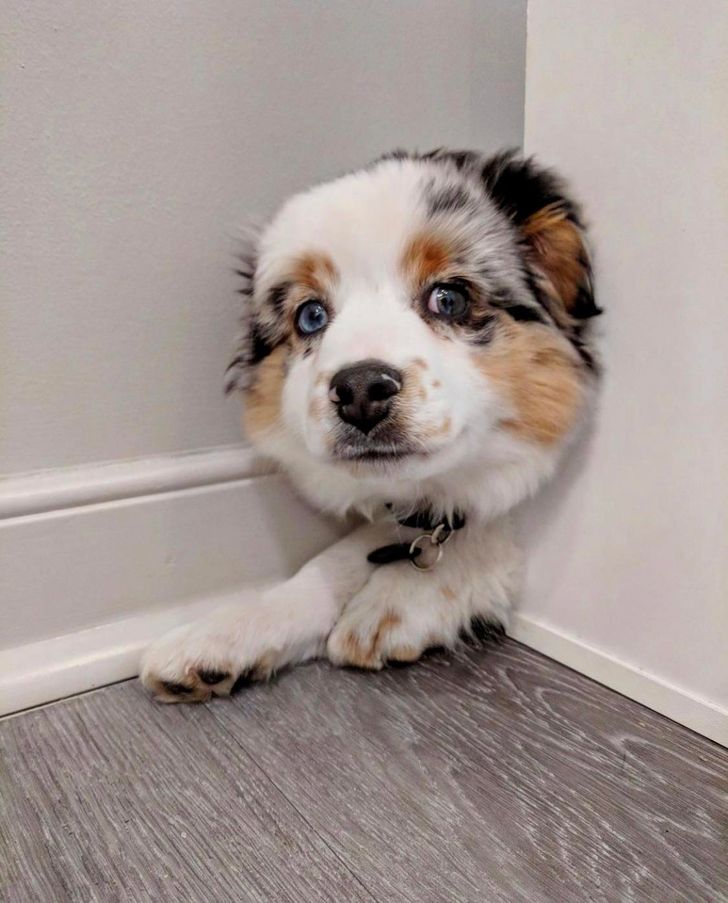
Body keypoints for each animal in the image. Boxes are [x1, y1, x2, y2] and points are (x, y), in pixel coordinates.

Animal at [139, 148, 600, 704]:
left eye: (449, 299)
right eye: (311, 316)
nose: (359, 391)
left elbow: (487, 523)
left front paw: (392, 601)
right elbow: (335, 559)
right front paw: (218, 636)